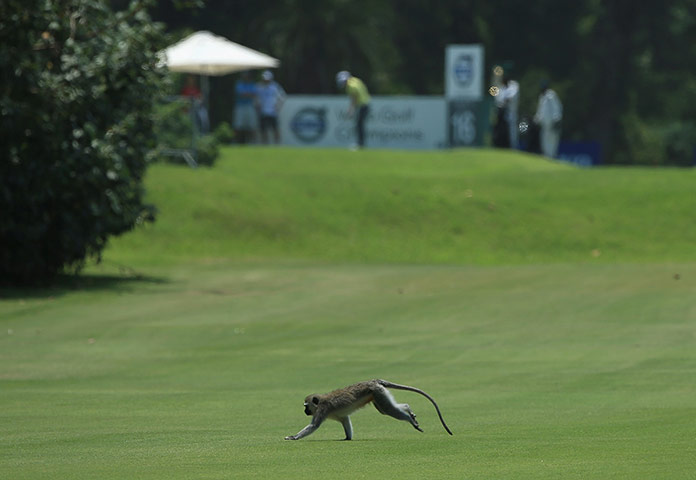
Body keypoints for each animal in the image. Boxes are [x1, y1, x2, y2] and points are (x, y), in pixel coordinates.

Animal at [284, 379, 453, 440]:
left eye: (306, 406)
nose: (305, 412)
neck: (320, 402)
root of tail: (374, 381)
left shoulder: (322, 410)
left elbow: (313, 426)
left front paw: (293, 437)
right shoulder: (340, 416)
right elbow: (345, 420)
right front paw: (347, 438)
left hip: (378, 393)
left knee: (389, 410)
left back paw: (410, 419)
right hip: (379, 394)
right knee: (387, 409)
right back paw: (408, 408)